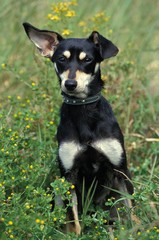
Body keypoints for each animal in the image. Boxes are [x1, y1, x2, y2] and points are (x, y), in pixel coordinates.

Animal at [23, 23, 134, 235]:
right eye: (61, 59)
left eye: (88, 59)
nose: (70, 84)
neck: (84, 110)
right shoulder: (69, 176)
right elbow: (74, 222)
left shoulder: (120, 170)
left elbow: (131, 211)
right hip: (57, 189)